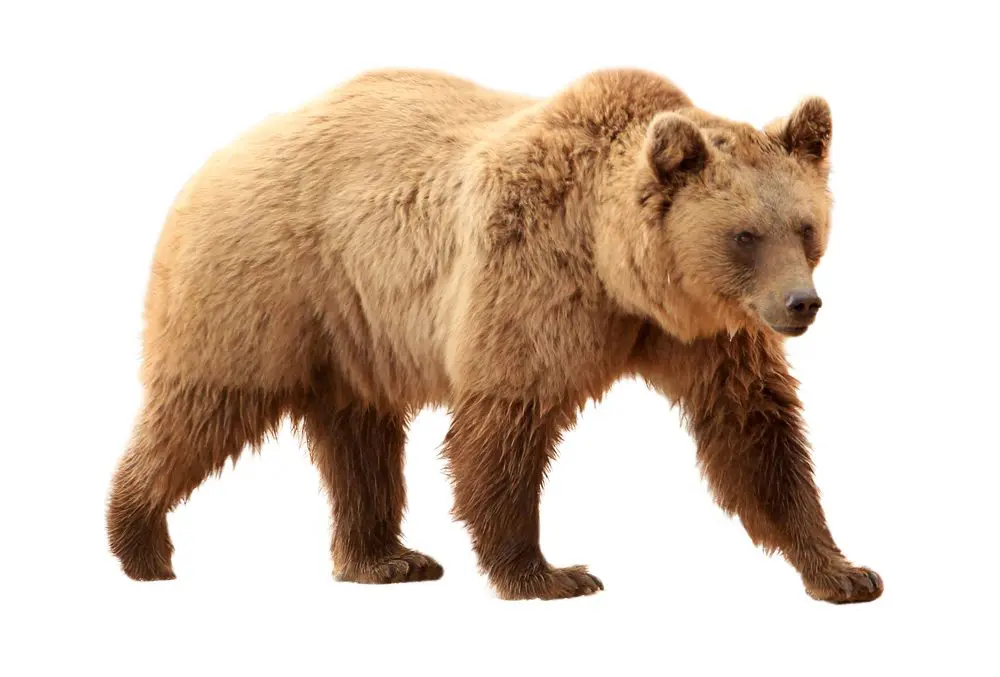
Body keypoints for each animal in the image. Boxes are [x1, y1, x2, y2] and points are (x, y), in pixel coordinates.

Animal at [107, 68, 882, 603]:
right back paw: (140, 541)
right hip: (266, 285)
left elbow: (755, 433)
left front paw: (844, 570)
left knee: (359, 439)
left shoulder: (707, 333)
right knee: (204, 406)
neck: (621, 271)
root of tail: (211, 161)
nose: (802, 304)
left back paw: (385, 558)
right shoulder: (532, 280)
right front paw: (551, 572)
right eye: (744, 235)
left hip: (353, 331)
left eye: (805, 227)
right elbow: (506, 424)